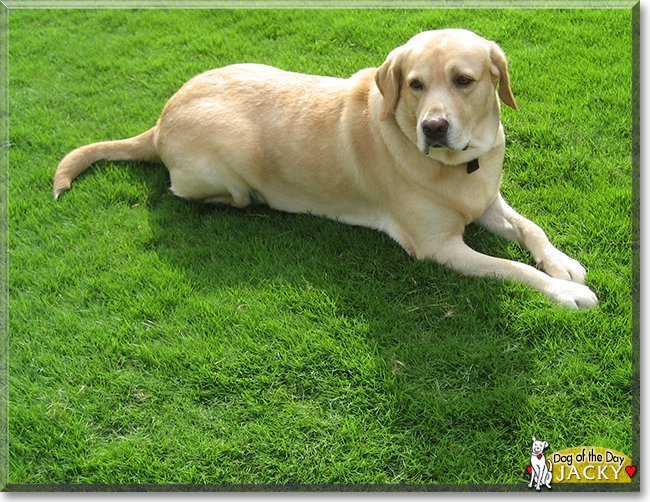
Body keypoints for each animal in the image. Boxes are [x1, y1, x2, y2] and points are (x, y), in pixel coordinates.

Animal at [54, 29, 596, 310]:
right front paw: (565, 291)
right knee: (206, 194)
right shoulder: (439, 247)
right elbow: (511, 268)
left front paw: (561, 263)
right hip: (231, 154)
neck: (461, 166)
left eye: (464, 80)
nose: (434, 127)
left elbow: (531, 229)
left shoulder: (485, 200)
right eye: (415, 84)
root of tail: (161, 118)